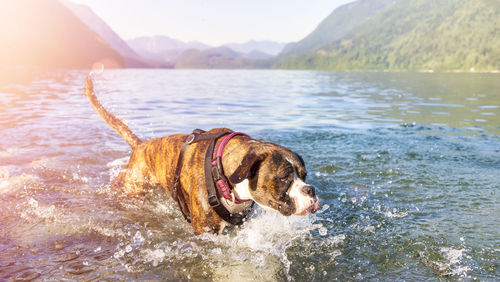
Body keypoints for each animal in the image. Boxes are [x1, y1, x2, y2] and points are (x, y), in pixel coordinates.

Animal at [84, 75, 318, 234]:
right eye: (283, 178)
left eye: (304, 175)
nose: (311, 190)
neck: (224, 175)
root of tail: (141, 146)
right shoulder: (206, 231)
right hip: (135, 185)